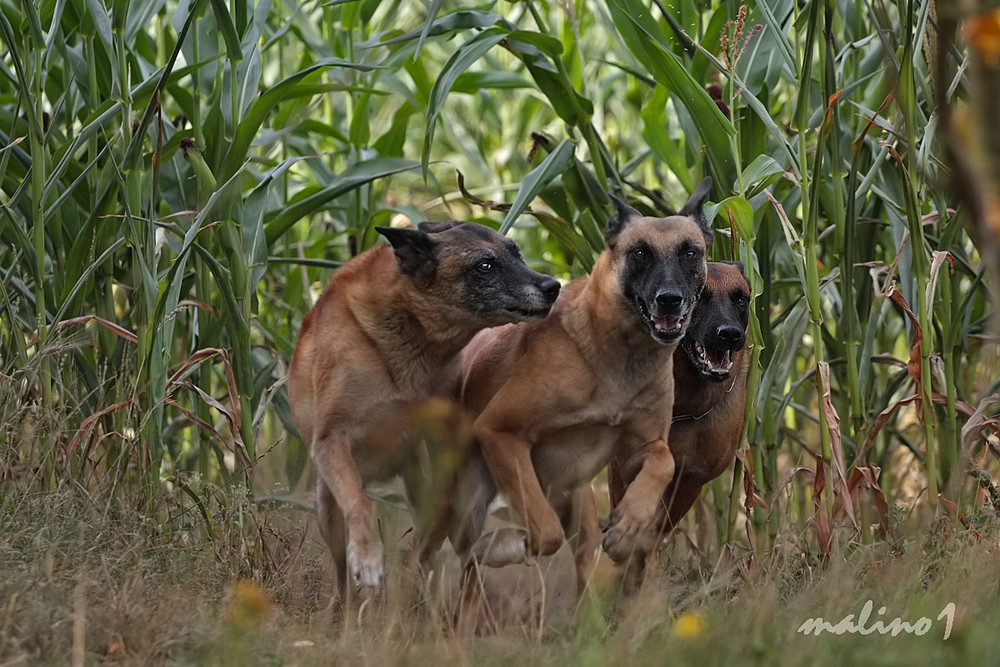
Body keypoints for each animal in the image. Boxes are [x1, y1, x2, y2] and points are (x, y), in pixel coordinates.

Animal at [288, 223, 564, 596]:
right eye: (485, 266)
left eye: (517, 253)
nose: (554, 286)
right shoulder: (332, 439)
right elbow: (361, 502)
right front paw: (369, 559)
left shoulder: (440, 440)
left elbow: (441, 517)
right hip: (326, 505)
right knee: (342, 573)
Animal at [444, 179, 712, 600]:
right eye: (640, 252)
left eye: (690, 252)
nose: (670, 299)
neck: (619, 357)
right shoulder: (500, 431)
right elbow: (544, 532)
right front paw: (504, 546)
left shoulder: (643, 446)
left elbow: (664, 462)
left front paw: (628, 526)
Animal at [600, 260, 752, 588]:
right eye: (701, 296)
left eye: (741, 299)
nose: (730, 334)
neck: (683, 404)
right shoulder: (622, 465)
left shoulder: (692, 478)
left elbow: (656, 527)